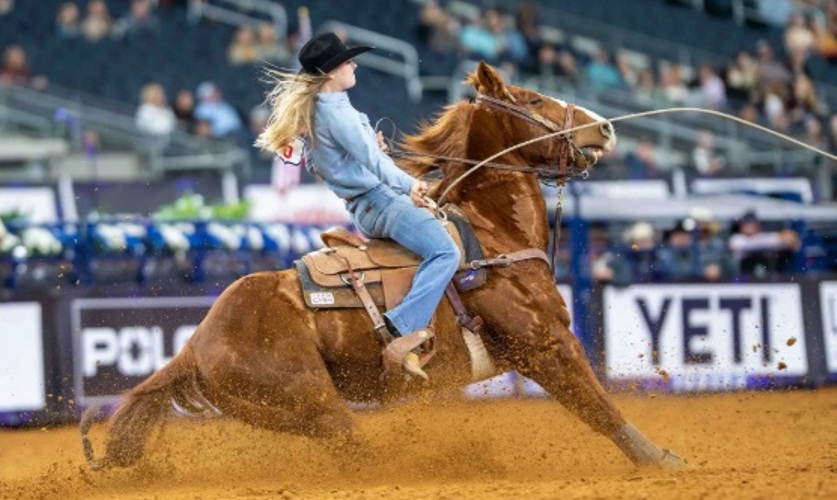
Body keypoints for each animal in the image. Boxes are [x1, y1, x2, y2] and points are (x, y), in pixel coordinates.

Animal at [81, 61, 684, 468]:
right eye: (533, 100)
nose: (604, 128)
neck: (492, 235)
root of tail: (194, 345)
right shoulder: (546, 345)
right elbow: (600, 408)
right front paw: (663, 461)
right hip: (316, 405)